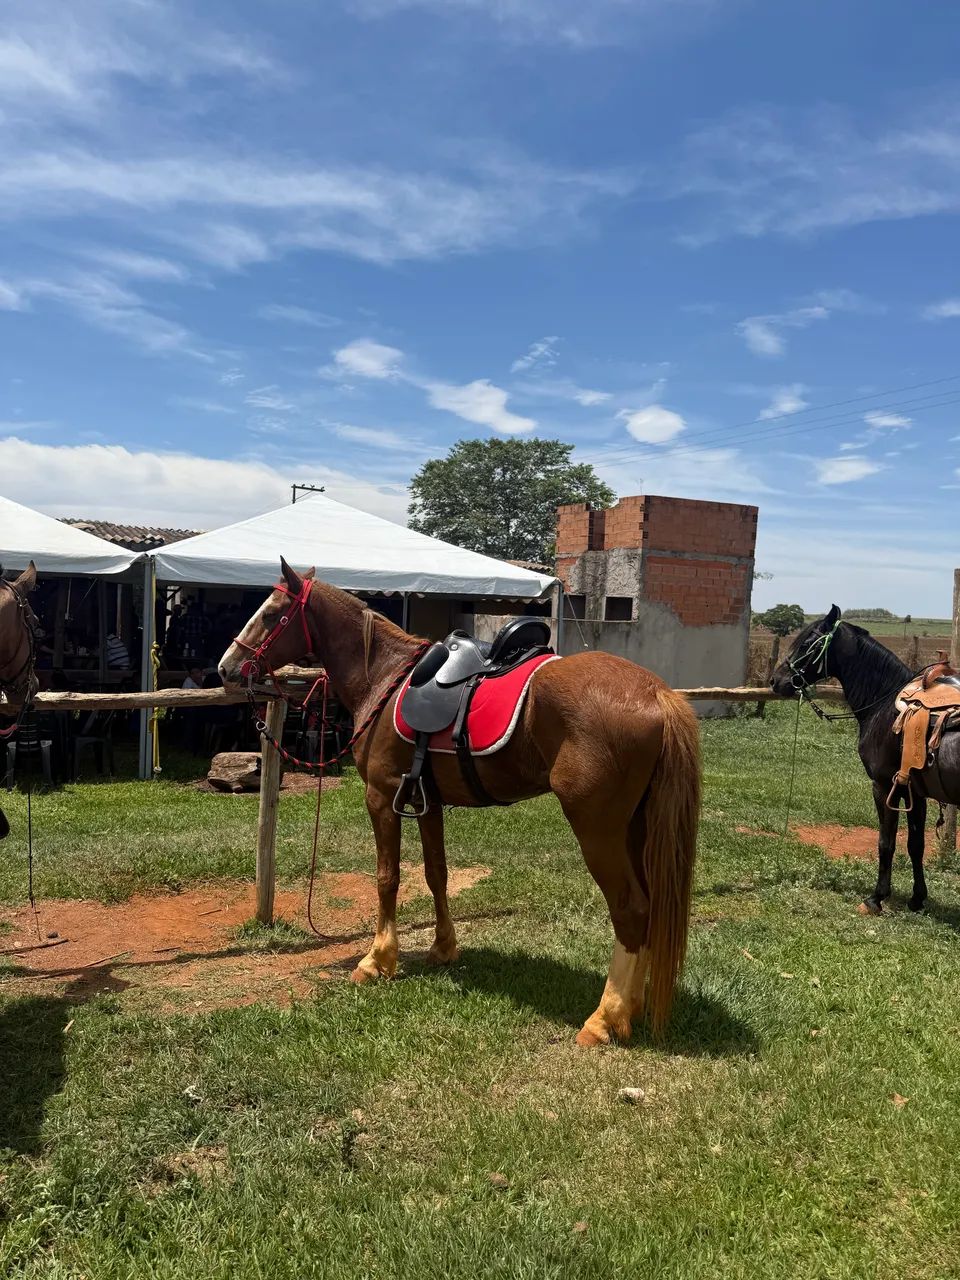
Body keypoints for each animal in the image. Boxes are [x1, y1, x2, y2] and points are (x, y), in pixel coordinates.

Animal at [219, 560, 701, 1046]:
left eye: (271, 613)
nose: (227, 666)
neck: (384, 676)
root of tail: (656, 694)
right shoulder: (426, 802)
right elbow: (437, 874)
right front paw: (443, 948)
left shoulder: (381, 797)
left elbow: (388, 877)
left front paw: (377, 960)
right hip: (636, 828)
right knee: (650, 908)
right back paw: (630, 1009)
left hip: (597, 831)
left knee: (630, 909)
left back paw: (604, 1018)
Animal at [770, 605, 960, 914]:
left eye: (808, 643)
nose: (777, 681)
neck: (883, 703)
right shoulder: (915, 793)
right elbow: (915, 845)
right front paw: (917, 898)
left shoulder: (884, 787)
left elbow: (886, 842)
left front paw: (876, 897)